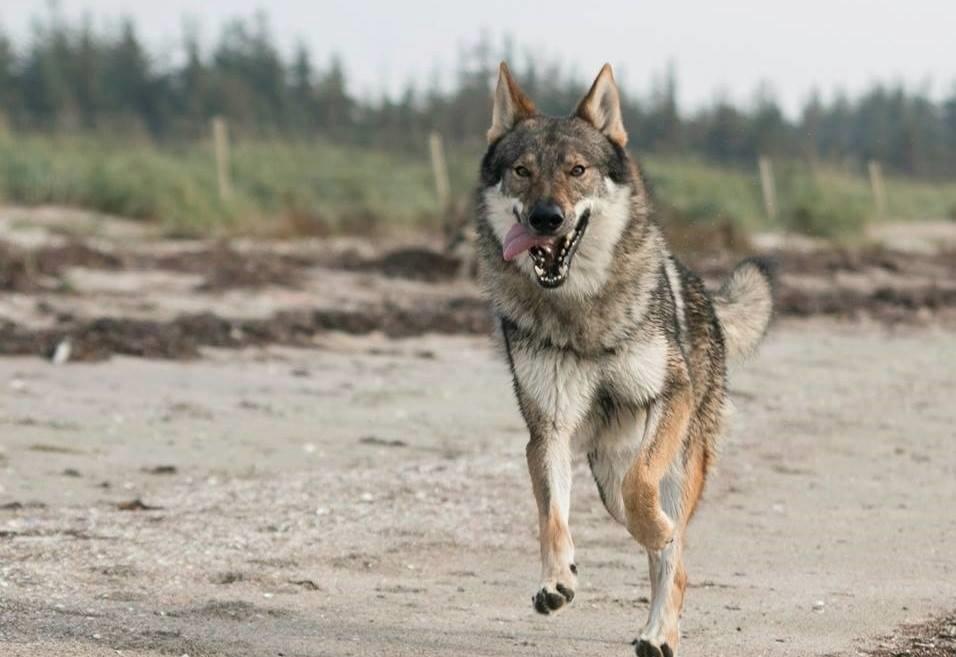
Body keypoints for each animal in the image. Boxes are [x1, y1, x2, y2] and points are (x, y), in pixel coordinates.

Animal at [474, 62, 772, 656]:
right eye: (521, 171)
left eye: (577, 170)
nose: (546, 218)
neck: (580, 311)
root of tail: (709, 302)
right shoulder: (548, 429)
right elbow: (553, 517)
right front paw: (556, 579)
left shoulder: (670, 396)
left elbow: (646, 503)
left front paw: (655, 532)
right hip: (605, 478)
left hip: (678, 465)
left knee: (673, 561)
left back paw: (660, 630)